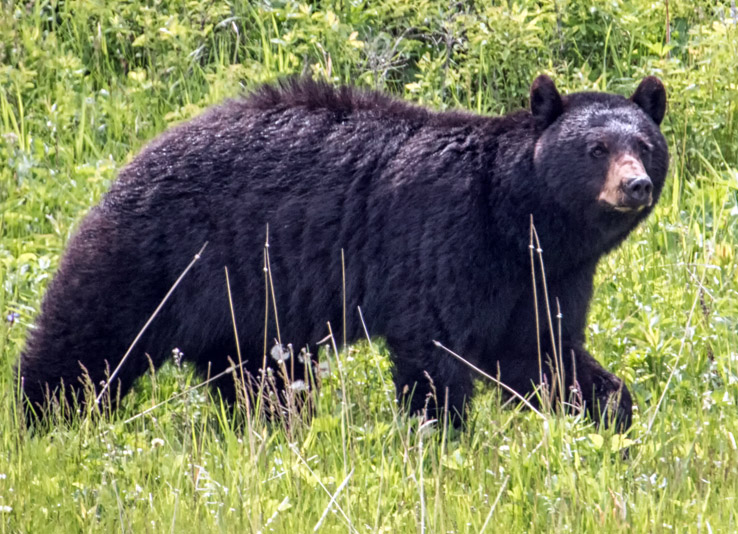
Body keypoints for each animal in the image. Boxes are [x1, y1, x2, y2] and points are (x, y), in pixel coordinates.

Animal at [17, 76, 664, 432]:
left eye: (646, 144)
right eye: (596, 148)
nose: (635, 185)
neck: (516, 215)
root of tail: (130, 161)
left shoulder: (545, 275)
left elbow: (542, 351)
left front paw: (614, 417)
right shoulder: (445, 238)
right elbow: (434, 352)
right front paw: (442, 439)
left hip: (246, 311)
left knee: (262, 382)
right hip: (152, 258)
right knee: (86, 344)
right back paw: (44, 424)